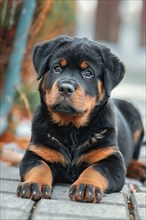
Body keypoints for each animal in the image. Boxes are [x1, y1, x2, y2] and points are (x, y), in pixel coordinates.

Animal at [16, 35, 145, 203]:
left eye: (88, 72)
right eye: (57, 68)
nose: (65, 87)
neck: (71, 127)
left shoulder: (112, 159)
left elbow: (95, 169)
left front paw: (86, 186)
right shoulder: (37, 151)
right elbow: (39, 167)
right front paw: (34, 184)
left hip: (135, 115)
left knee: (131, 159)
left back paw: (140, 168)